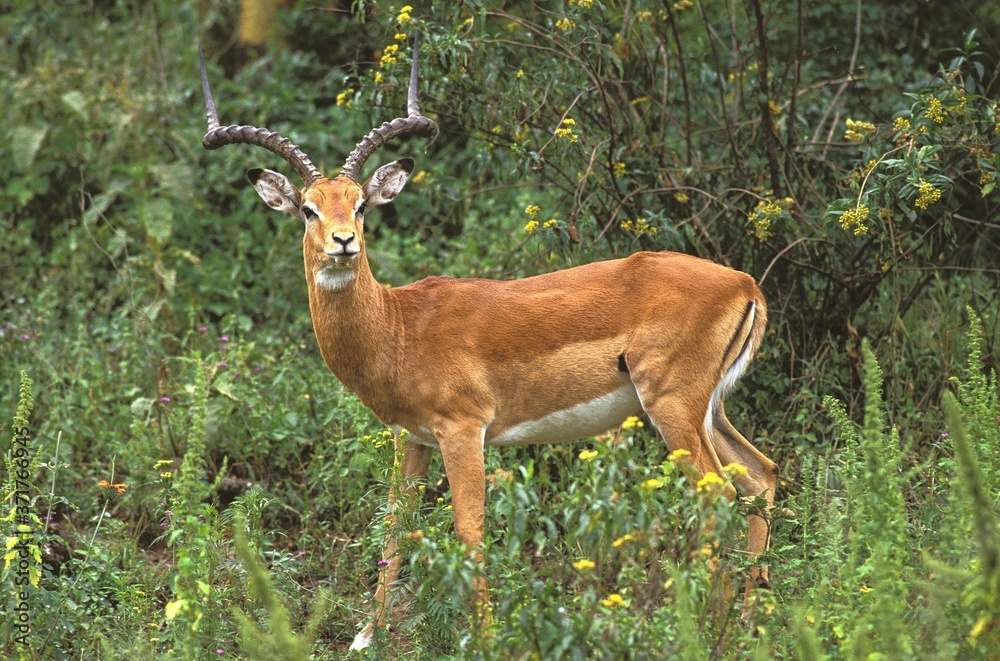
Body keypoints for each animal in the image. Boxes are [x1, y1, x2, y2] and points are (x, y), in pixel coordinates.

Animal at [199, 42, 777, 651]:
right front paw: (364, 637)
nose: (344, 242)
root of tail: (745, 283)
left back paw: (710, 631)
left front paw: (484, 636)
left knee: (719, 499)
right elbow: (394, 529)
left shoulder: (463, 430)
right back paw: (748, 622)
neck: (398, 327)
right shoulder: (413, 438)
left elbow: (469, 529)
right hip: (707, 410)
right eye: (309, 208)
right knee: (761, 476)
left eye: (360, 204)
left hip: (671, 406)